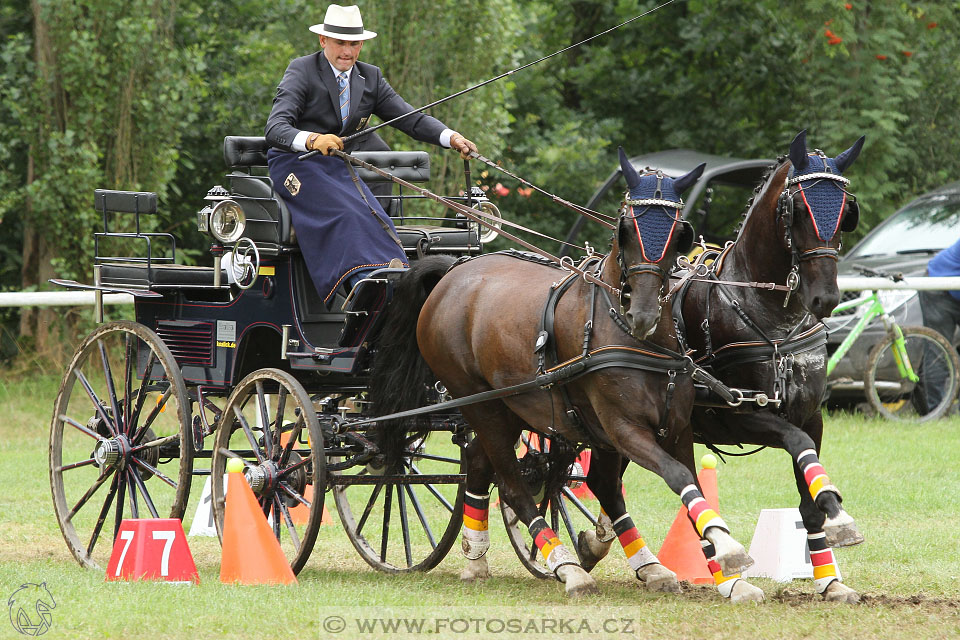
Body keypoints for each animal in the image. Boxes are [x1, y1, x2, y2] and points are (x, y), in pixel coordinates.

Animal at [676, 131, 872, 604]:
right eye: (797, 210)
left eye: (847, 210)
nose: (825, 298)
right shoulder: (738, 417)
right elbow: (795, 442)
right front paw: (840, 519)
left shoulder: (811, 414)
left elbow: (809, 488)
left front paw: (830, 575)